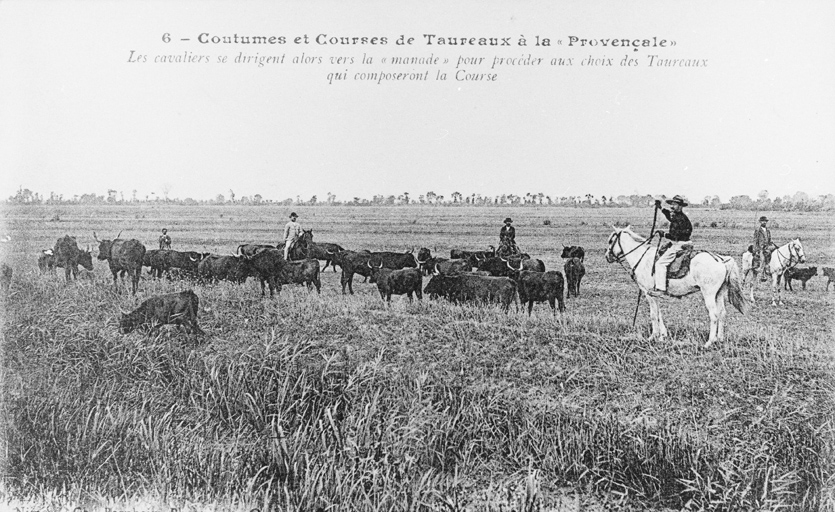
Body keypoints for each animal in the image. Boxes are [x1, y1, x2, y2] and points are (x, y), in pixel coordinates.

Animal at [604, 227, 748, 348]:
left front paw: (652, 337)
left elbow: (653, 315)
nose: (607, 257)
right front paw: (662, 336)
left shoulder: (648, 293)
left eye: (611, 240)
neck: (642, 258)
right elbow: (659, 314)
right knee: (722, 313)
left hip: (709, 294)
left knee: (714, 315)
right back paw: (720, 339)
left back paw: (709, 342)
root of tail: (721, 260)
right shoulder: (654, 295)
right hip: (719, 294)